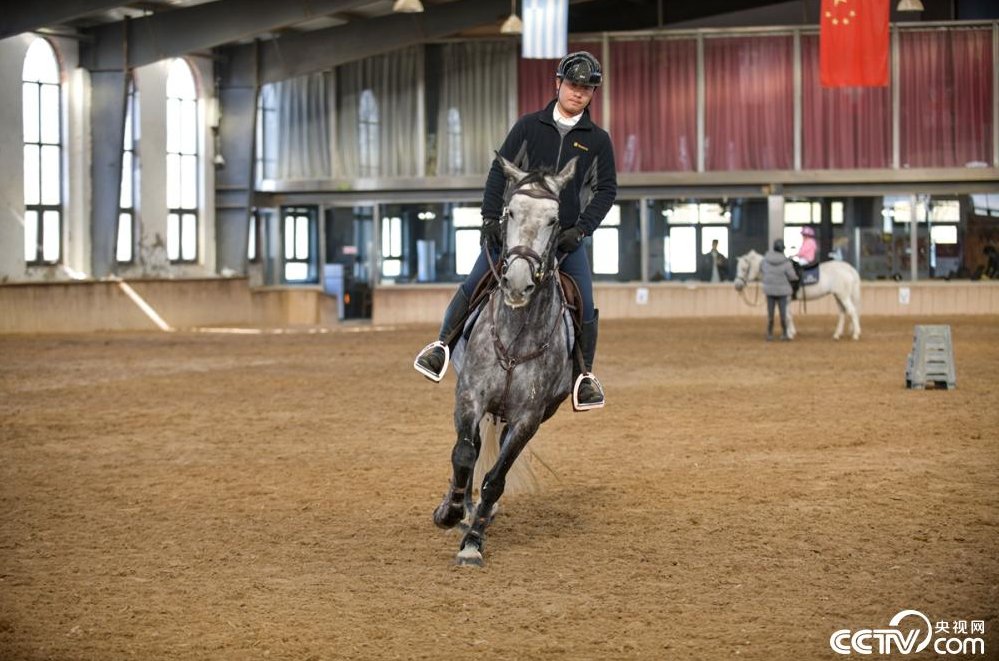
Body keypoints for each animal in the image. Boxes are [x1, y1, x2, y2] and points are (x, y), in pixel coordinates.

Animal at [432, 155, 580, 568]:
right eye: (510, 211)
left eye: (554, 220)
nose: (516, 282)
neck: (515, 334)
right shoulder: (470, 396)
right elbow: (464, 454)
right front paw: (451, 512)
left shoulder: (528, 418)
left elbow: (495, 479)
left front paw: (473, 542)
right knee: (472, 448)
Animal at [732, 248, 864, 340]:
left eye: (744, 269)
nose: (737, 285)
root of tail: (848, 268)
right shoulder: (787, 300)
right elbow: (788, 315)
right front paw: (792, 332)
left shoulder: (786, 299)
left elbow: (787, 315)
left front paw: (789, 334)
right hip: (838, 296)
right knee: (842, 312)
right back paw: (837, 334)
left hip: (843, 296)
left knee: (852, 311)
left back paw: (856, 334)